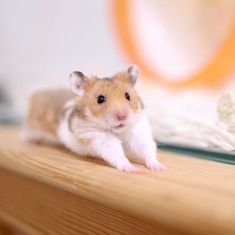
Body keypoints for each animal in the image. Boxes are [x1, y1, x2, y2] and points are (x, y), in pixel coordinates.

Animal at [22, 65, 165, 172]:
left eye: (127, 96)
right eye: (100, 99)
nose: (122, 116)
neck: (118, 131)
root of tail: (37, 94)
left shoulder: (138, 132)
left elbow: (146, 149)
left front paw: (158, 167)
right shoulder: (100, 138)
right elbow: (116, 153)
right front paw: (132, 169)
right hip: (33, 126)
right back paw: (31, 142)